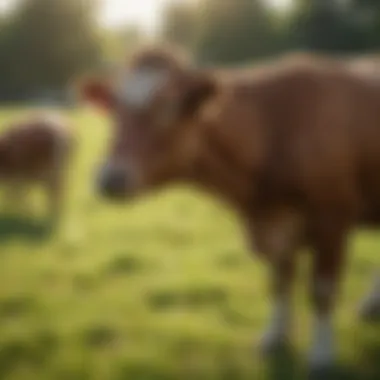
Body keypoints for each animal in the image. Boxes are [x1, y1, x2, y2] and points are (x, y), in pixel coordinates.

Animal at [81, 46, 380, 372]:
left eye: (169, 108)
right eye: (115, 110)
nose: (109, 178)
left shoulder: (332, 218)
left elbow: (322, 291)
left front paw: (322, 355)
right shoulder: (276, 226)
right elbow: (279, 280)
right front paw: (275, 336)